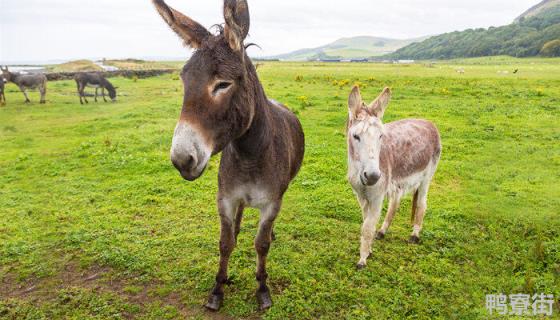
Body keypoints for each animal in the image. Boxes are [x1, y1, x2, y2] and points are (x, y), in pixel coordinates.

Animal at [153, 0, 304, 312]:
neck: (249, 154)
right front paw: (217, 290)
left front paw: (262, 289)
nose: (181, 159)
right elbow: (225, 243)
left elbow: (261, 245)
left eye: (223, 84)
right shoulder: (225, 198)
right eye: (184, 80)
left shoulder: (272, 202)